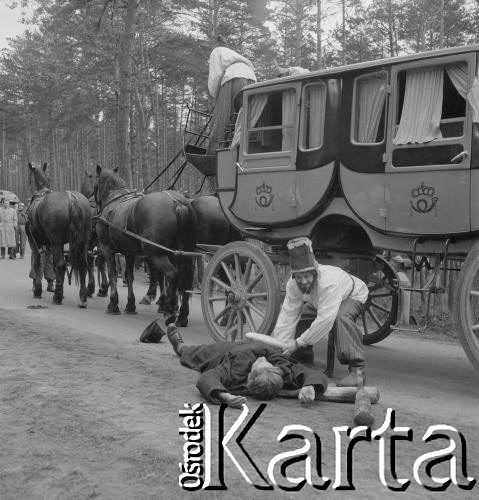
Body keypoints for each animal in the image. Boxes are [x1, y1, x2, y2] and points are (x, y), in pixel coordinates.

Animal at [27, 162, 92, 306]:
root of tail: (72, 199)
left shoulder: (34, 241)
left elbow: (38, 262)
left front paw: (38, 290)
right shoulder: (53, 244)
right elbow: (52, 267)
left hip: (56, 241)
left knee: (61, 265)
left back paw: (57, 297)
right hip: (84, 241)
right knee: (83, 264)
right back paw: (82, 298)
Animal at [94, 165, 196, 320]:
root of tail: (177, 202)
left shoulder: (107, 249)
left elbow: (112, 274)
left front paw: (113, 304)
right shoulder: (129, 253)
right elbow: (129, 275)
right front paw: (130, 305)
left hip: (157, 254)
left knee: (171, 274)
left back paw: (169, 309)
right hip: (180, 254)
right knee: (184, 280)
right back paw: (181, 314)